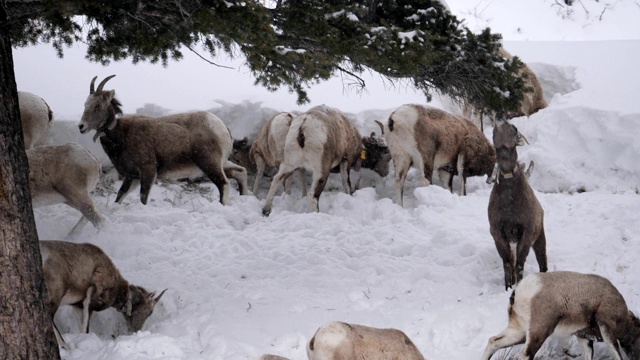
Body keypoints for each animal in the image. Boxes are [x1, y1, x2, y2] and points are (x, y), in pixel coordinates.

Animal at [77, 74, 248, 205]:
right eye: (85, 104)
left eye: (98, 106)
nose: (81, 126)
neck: (122, 136)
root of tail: (221, 126)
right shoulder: (132, 176)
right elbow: (119, 197)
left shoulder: (147, 171)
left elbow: (143, 198)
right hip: (221, 163)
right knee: (241, 172)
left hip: (209, 164)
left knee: (224, 184)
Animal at [260, 105, 390, 215]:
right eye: (384, 154)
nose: (386, 173)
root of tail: (302, 128)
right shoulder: (345, 161)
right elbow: (346, 183)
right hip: (321, 171)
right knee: (313, 195)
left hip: (289, 164)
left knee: (276, 179)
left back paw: (266, 210)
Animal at [480, 272, 640, 360]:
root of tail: (518, 292)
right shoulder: (607, 331)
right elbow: (616, 354)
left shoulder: (584, 337)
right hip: (537, 332)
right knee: (526, 353)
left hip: (519, 332)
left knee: (493, 342)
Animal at [488, 118, 548, 290]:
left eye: (513, 128)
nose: (500, 119)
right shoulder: (498, 232)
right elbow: (508, 264)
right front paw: (508, 287)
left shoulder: (527, 231)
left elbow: (520, 265)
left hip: (540, 237)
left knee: (543, 262)